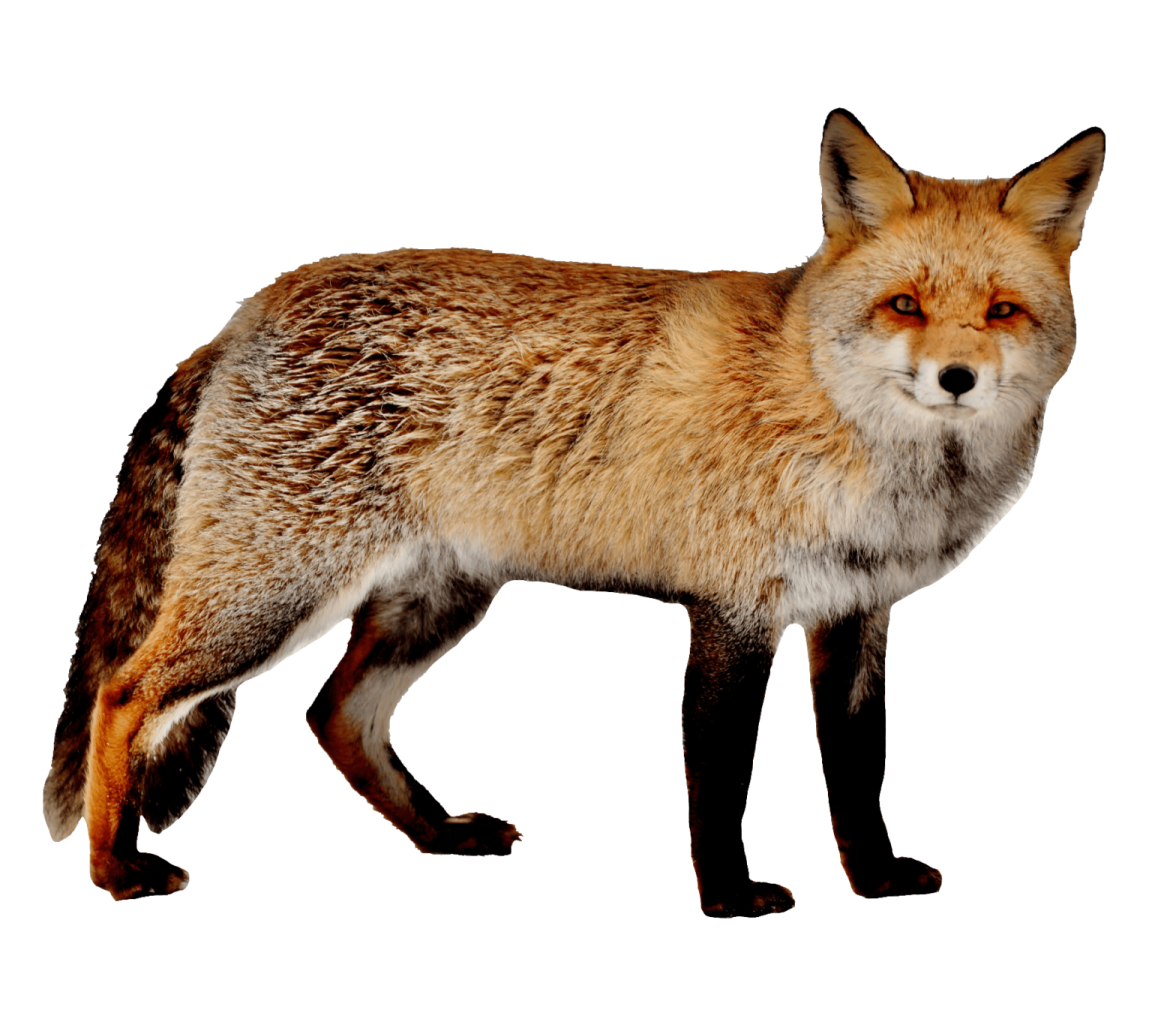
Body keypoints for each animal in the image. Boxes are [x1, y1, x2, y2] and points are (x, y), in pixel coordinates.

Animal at [43, 109, 1104, 914]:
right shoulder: (733, 612)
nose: (958, 377)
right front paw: (729, 898)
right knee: (122, 695)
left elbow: (856, 773)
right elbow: (720, 779)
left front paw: (874, 880)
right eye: (904, 305)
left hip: (439, 603)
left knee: (333, 714)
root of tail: (239, 315)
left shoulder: (855, 613)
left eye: (1003, 311)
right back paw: (113, 868)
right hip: (270, 596)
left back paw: (441, 835)